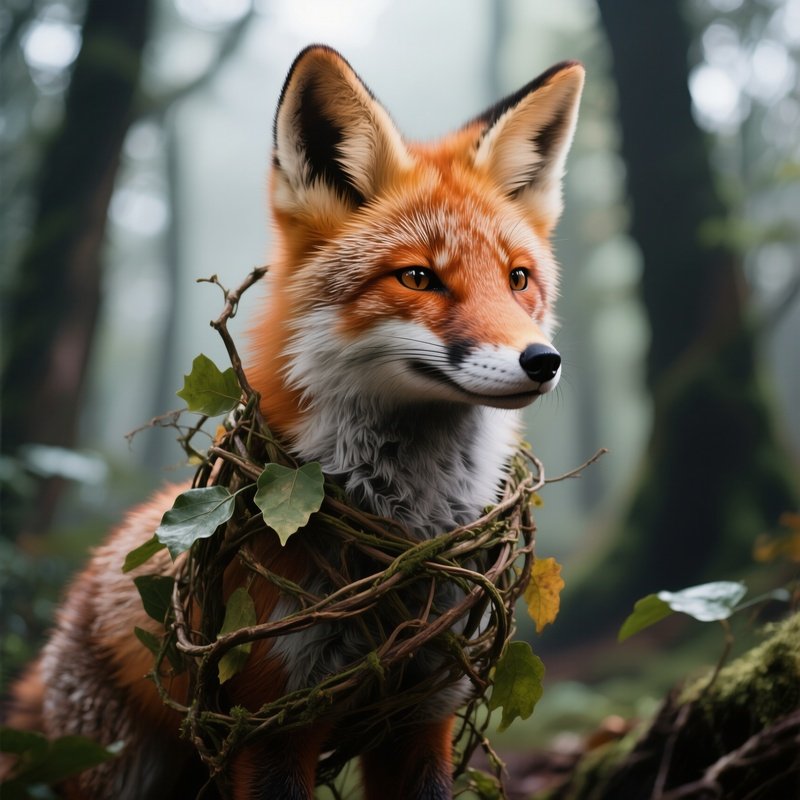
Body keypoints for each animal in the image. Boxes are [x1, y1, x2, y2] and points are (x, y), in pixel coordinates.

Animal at [4, 45, 583, 800]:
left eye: (518, 279)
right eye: (418, 278)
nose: (544, 360)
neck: (404, 528)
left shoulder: (422, 711)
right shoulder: (271, 719)